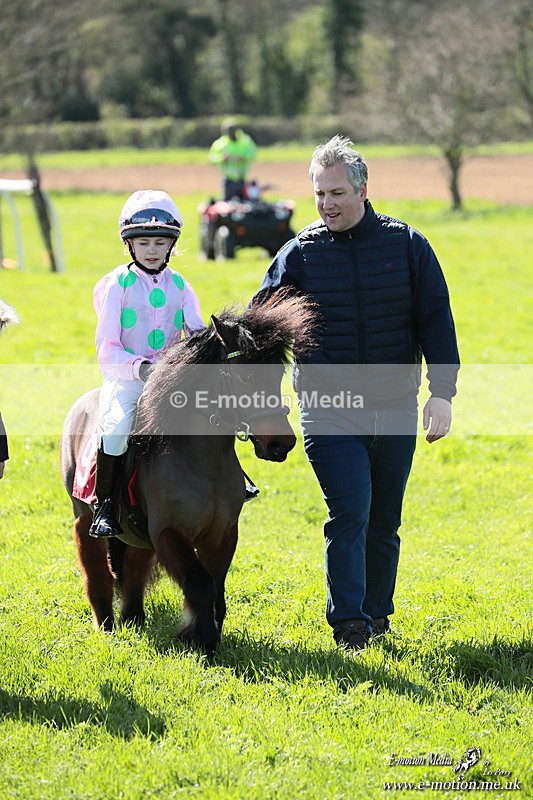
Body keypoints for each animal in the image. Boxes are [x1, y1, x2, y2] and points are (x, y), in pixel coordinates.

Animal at [60, 291, 315, 655]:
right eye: (246, 377)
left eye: (278, 375)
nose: (280, 443)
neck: (203, 464)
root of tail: (84, 404)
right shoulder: (169, 533)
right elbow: (200, 585)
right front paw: (201, 641)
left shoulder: (222, 534)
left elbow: (216, 590)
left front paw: (204, 637)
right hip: (83, 518)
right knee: (98, 572)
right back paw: (106, 625)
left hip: (139, 535)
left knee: (135, 568)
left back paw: (134, 619)